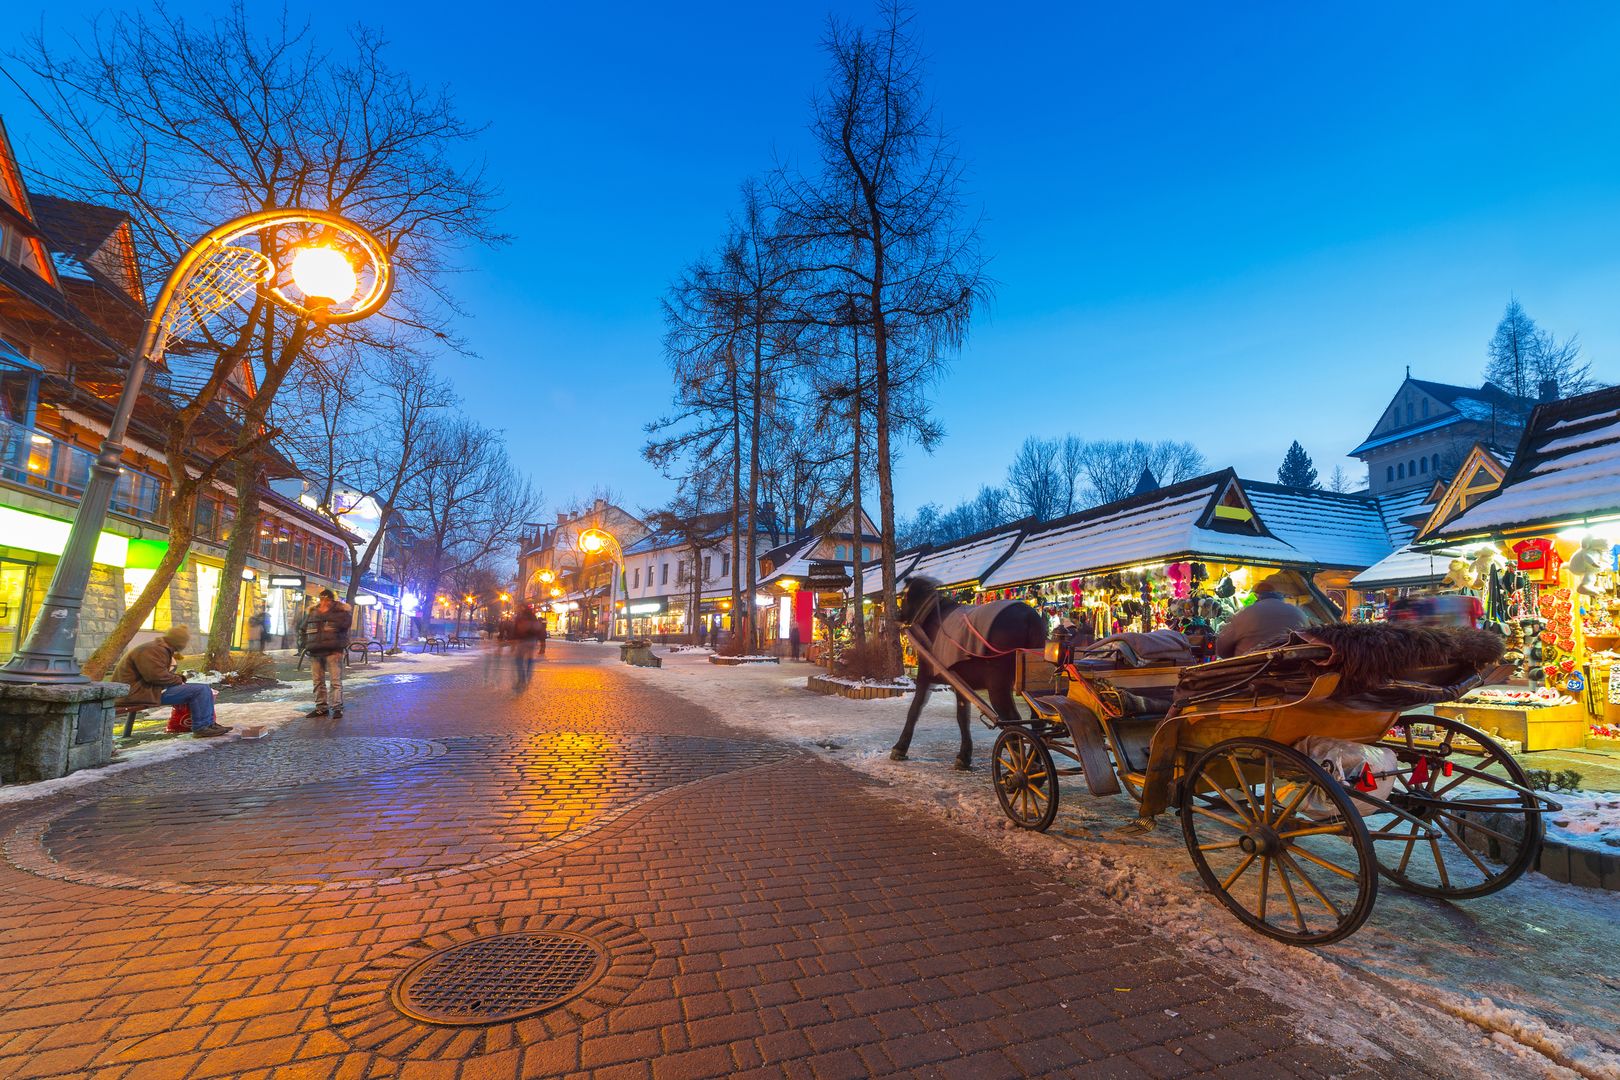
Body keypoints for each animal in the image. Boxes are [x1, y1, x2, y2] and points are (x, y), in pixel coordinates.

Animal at [894, 573, 1043, 767]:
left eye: (905, 595)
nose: (897, 615)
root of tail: (1030, 617)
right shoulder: (959, 683)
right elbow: (962, 717)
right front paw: (964, 756)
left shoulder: (926, 675)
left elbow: (914, 709)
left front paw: (900, 747)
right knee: (1037, 719)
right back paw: (1035, 760)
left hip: (998, 684)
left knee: (1013, 723)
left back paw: (1021, 766)